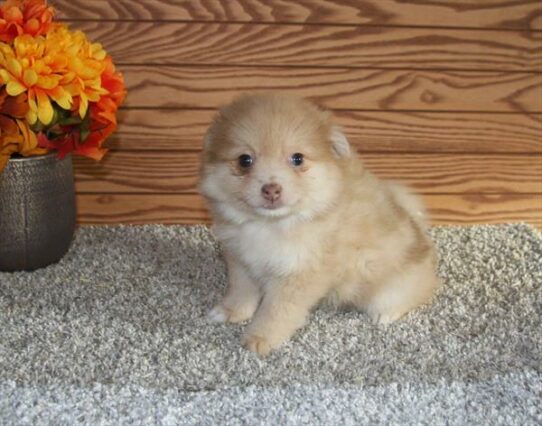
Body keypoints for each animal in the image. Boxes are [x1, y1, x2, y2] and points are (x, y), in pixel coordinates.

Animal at [200, 93, 442, 356]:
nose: (271, 189)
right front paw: (230, 311)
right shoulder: (240, 259)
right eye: (245, 160)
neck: (271, 225)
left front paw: (260, 338)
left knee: (414, 294)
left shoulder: (299, 274)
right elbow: (241, 291)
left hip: (390, 287)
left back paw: (386, 314)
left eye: (297, 159)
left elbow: (276, 311)